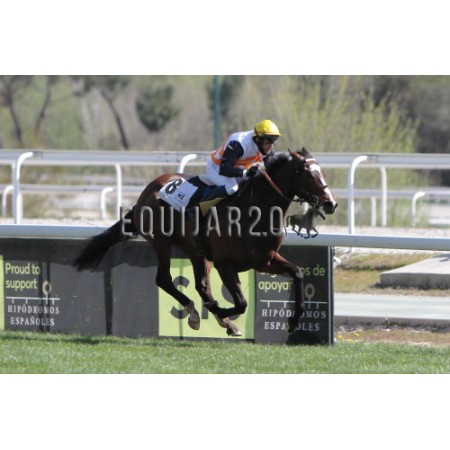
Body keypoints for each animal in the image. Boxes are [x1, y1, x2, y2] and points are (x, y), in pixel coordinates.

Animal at [73, 148, 338, 337]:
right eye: (307, 173)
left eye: (322, 171)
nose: (330, 203)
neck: (256, 210)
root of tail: (147, 191)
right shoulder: (225, 263)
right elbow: (241, 302)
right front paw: (219, 311)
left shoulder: (264, 260)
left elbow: (298, 272)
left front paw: (293, 321)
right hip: (161, 242)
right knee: (165, 279)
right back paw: (196, 313)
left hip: (195, 250)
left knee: (201, 285)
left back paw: (220, 320)